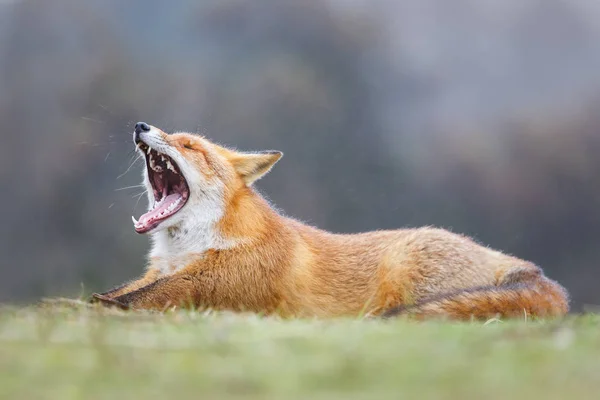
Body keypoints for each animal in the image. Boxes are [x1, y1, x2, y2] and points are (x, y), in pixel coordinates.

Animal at [91, 120, 568, 320]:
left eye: (189, 145)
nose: (141, 124)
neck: (187, 249)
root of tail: (516, 262)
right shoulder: (162, 274)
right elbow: (116, 292)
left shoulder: (204, 284)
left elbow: (123, 301)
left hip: (406, 272)